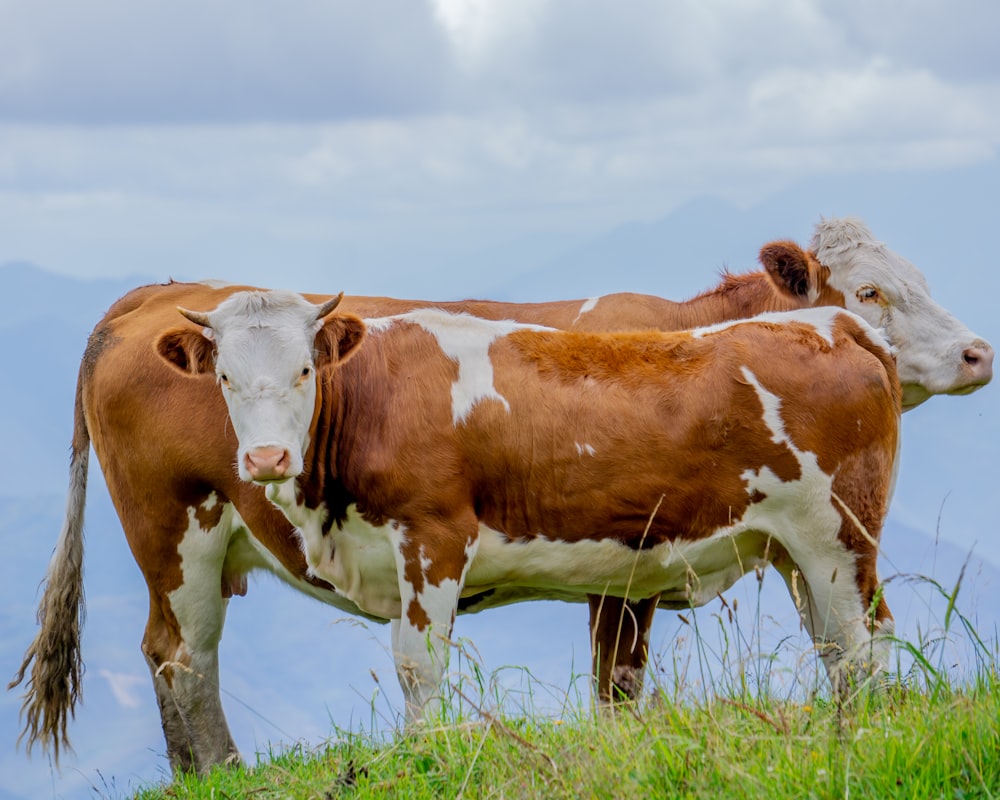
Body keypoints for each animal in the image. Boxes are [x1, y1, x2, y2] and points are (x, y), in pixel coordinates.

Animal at [172, 292, 908, 724]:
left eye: (303, 370)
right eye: (225, 377)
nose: (267, 458)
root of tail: (833, 322)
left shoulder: (434, 535)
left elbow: (417, 664)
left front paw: (425, 751)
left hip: (837, 533)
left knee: (864, 639)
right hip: (792, 550)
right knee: (836, 646)